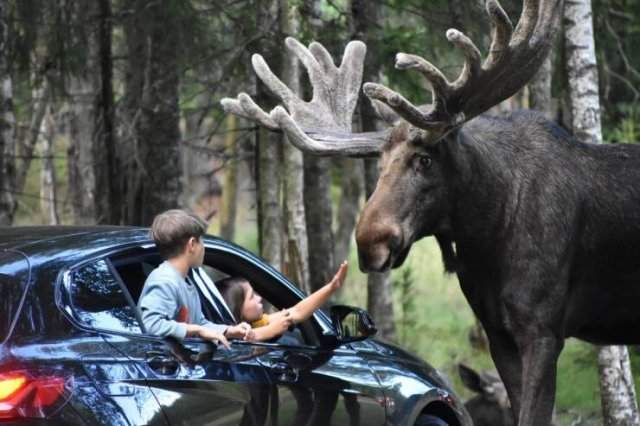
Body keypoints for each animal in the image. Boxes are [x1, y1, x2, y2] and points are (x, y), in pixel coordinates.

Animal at [220, 0, 640, 422]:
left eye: (425, 159)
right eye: (379, 161)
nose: (370, 242)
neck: (489, 232)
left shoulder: (542, 329)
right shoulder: (497, 333)